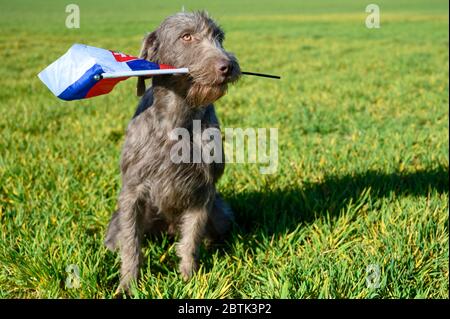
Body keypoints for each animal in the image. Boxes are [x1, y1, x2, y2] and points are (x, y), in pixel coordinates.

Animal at [103, 11, 241, 294]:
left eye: (218, 37)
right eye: (186, 36)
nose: (227, 66)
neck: (178, 118)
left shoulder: (203, 192)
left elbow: (190, 241)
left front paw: (189, 279)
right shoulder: (132, 193)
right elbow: (131, 245)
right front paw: (128, 284)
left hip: (221, 214)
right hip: (116, 224)